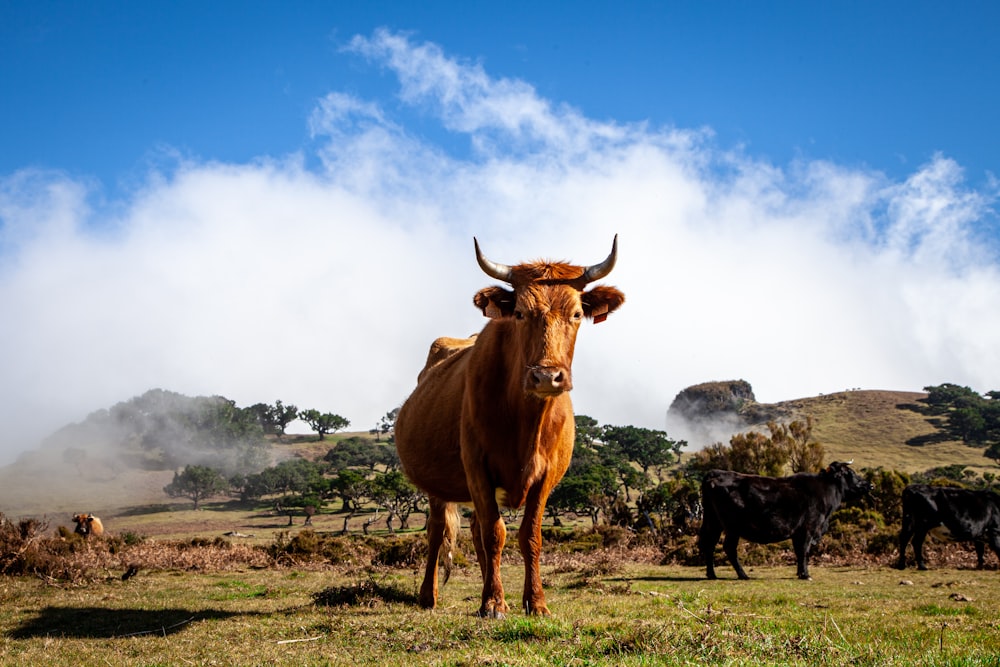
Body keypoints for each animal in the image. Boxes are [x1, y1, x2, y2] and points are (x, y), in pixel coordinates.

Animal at [394, 237, 620, 620]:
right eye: (520, 313)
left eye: (576, 314)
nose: (547, 376)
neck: (525, 422)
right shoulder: (477, 467)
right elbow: (495, 533)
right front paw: (493, 603)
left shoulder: (546, 475)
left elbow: (529, 535)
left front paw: (535, 602)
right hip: (438, 486)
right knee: (439, 531)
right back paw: (429, 595)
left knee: (474, 530)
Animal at [700, 464, 872, 580]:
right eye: (850, 473)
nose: (870, 484)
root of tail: (715, 472)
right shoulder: (808, 530)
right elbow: (804, 551)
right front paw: (805, 575)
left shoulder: (798, 533)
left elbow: (799, 552)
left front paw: (800, 572)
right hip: (732, 527)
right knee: (729, 548)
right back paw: (743, 575)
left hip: (713, 522)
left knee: (709, 545)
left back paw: (712, 574)